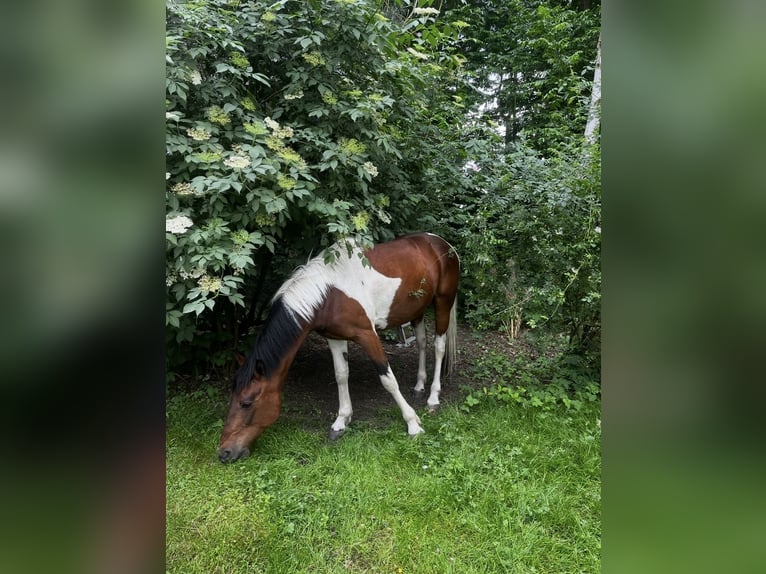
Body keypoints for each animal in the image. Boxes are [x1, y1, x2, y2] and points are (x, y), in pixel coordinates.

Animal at [218, 232, 460, 463]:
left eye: (246, 403)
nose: (225, 453)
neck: (329, 294)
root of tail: (442, 243)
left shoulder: (367, 335)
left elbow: (388, 379)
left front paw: (413, 424)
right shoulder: (334, 338)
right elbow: (341, 375)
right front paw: (341, 421)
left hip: (442, 302)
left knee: (438, 347)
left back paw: (433, 398)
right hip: (416, 310)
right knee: (421, 343)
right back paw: (419, 385)